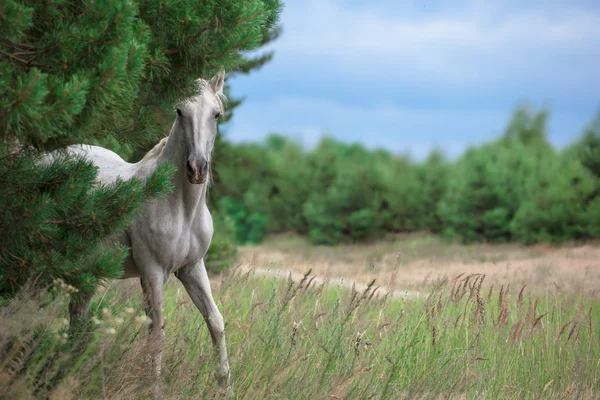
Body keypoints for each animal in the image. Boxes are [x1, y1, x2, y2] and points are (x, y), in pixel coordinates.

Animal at [40, 69, 232, 388]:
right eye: (180, 111)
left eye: (216, 114)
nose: (197, 169)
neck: (179, 206)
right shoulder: (152, 273)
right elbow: (156, 333)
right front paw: (153, 388)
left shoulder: (192, 269)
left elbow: (215, 322)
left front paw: (224, 384)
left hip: (87, 271)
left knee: (77, 319)